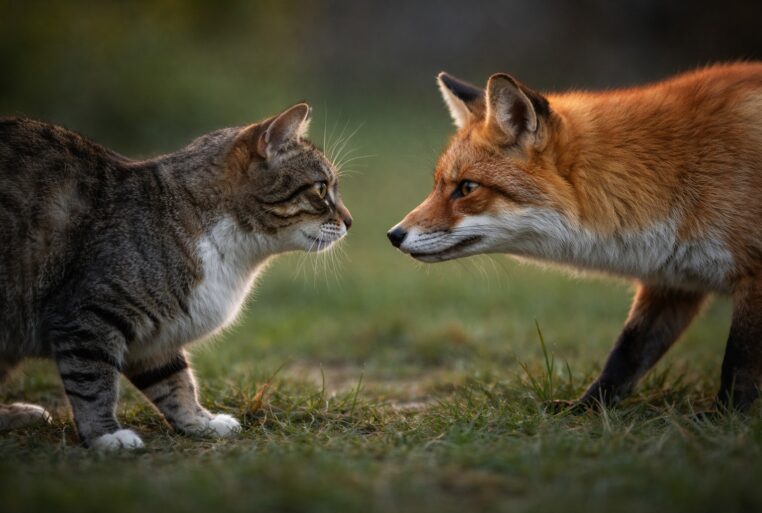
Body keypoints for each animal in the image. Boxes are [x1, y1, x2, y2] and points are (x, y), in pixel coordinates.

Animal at [388, 62, 762, 412]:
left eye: (466, 187)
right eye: (438, 185)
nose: (394, 234)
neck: (672, 174)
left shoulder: (751, 275)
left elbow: (738, 361)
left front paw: (725, 417)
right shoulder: (673, 281)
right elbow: (627, 353)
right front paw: (587, 409)